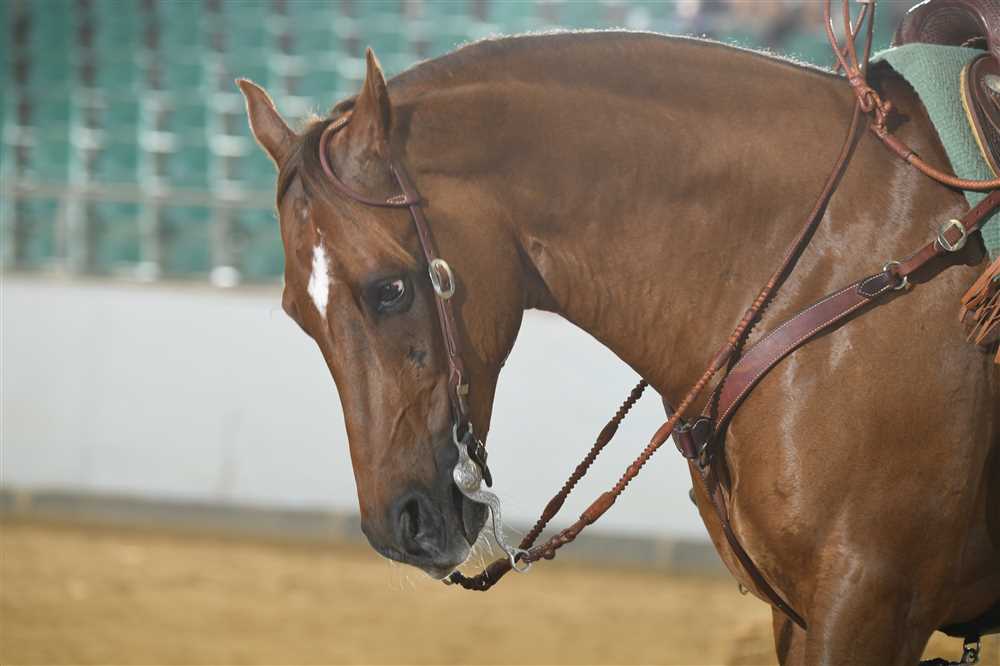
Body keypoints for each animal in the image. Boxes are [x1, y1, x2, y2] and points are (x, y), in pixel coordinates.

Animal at [238, 27, 999, 665]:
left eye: (390, 289)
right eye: (299, 314)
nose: (402, 526)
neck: (831, 261)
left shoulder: (870, 597)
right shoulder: (802, 612)